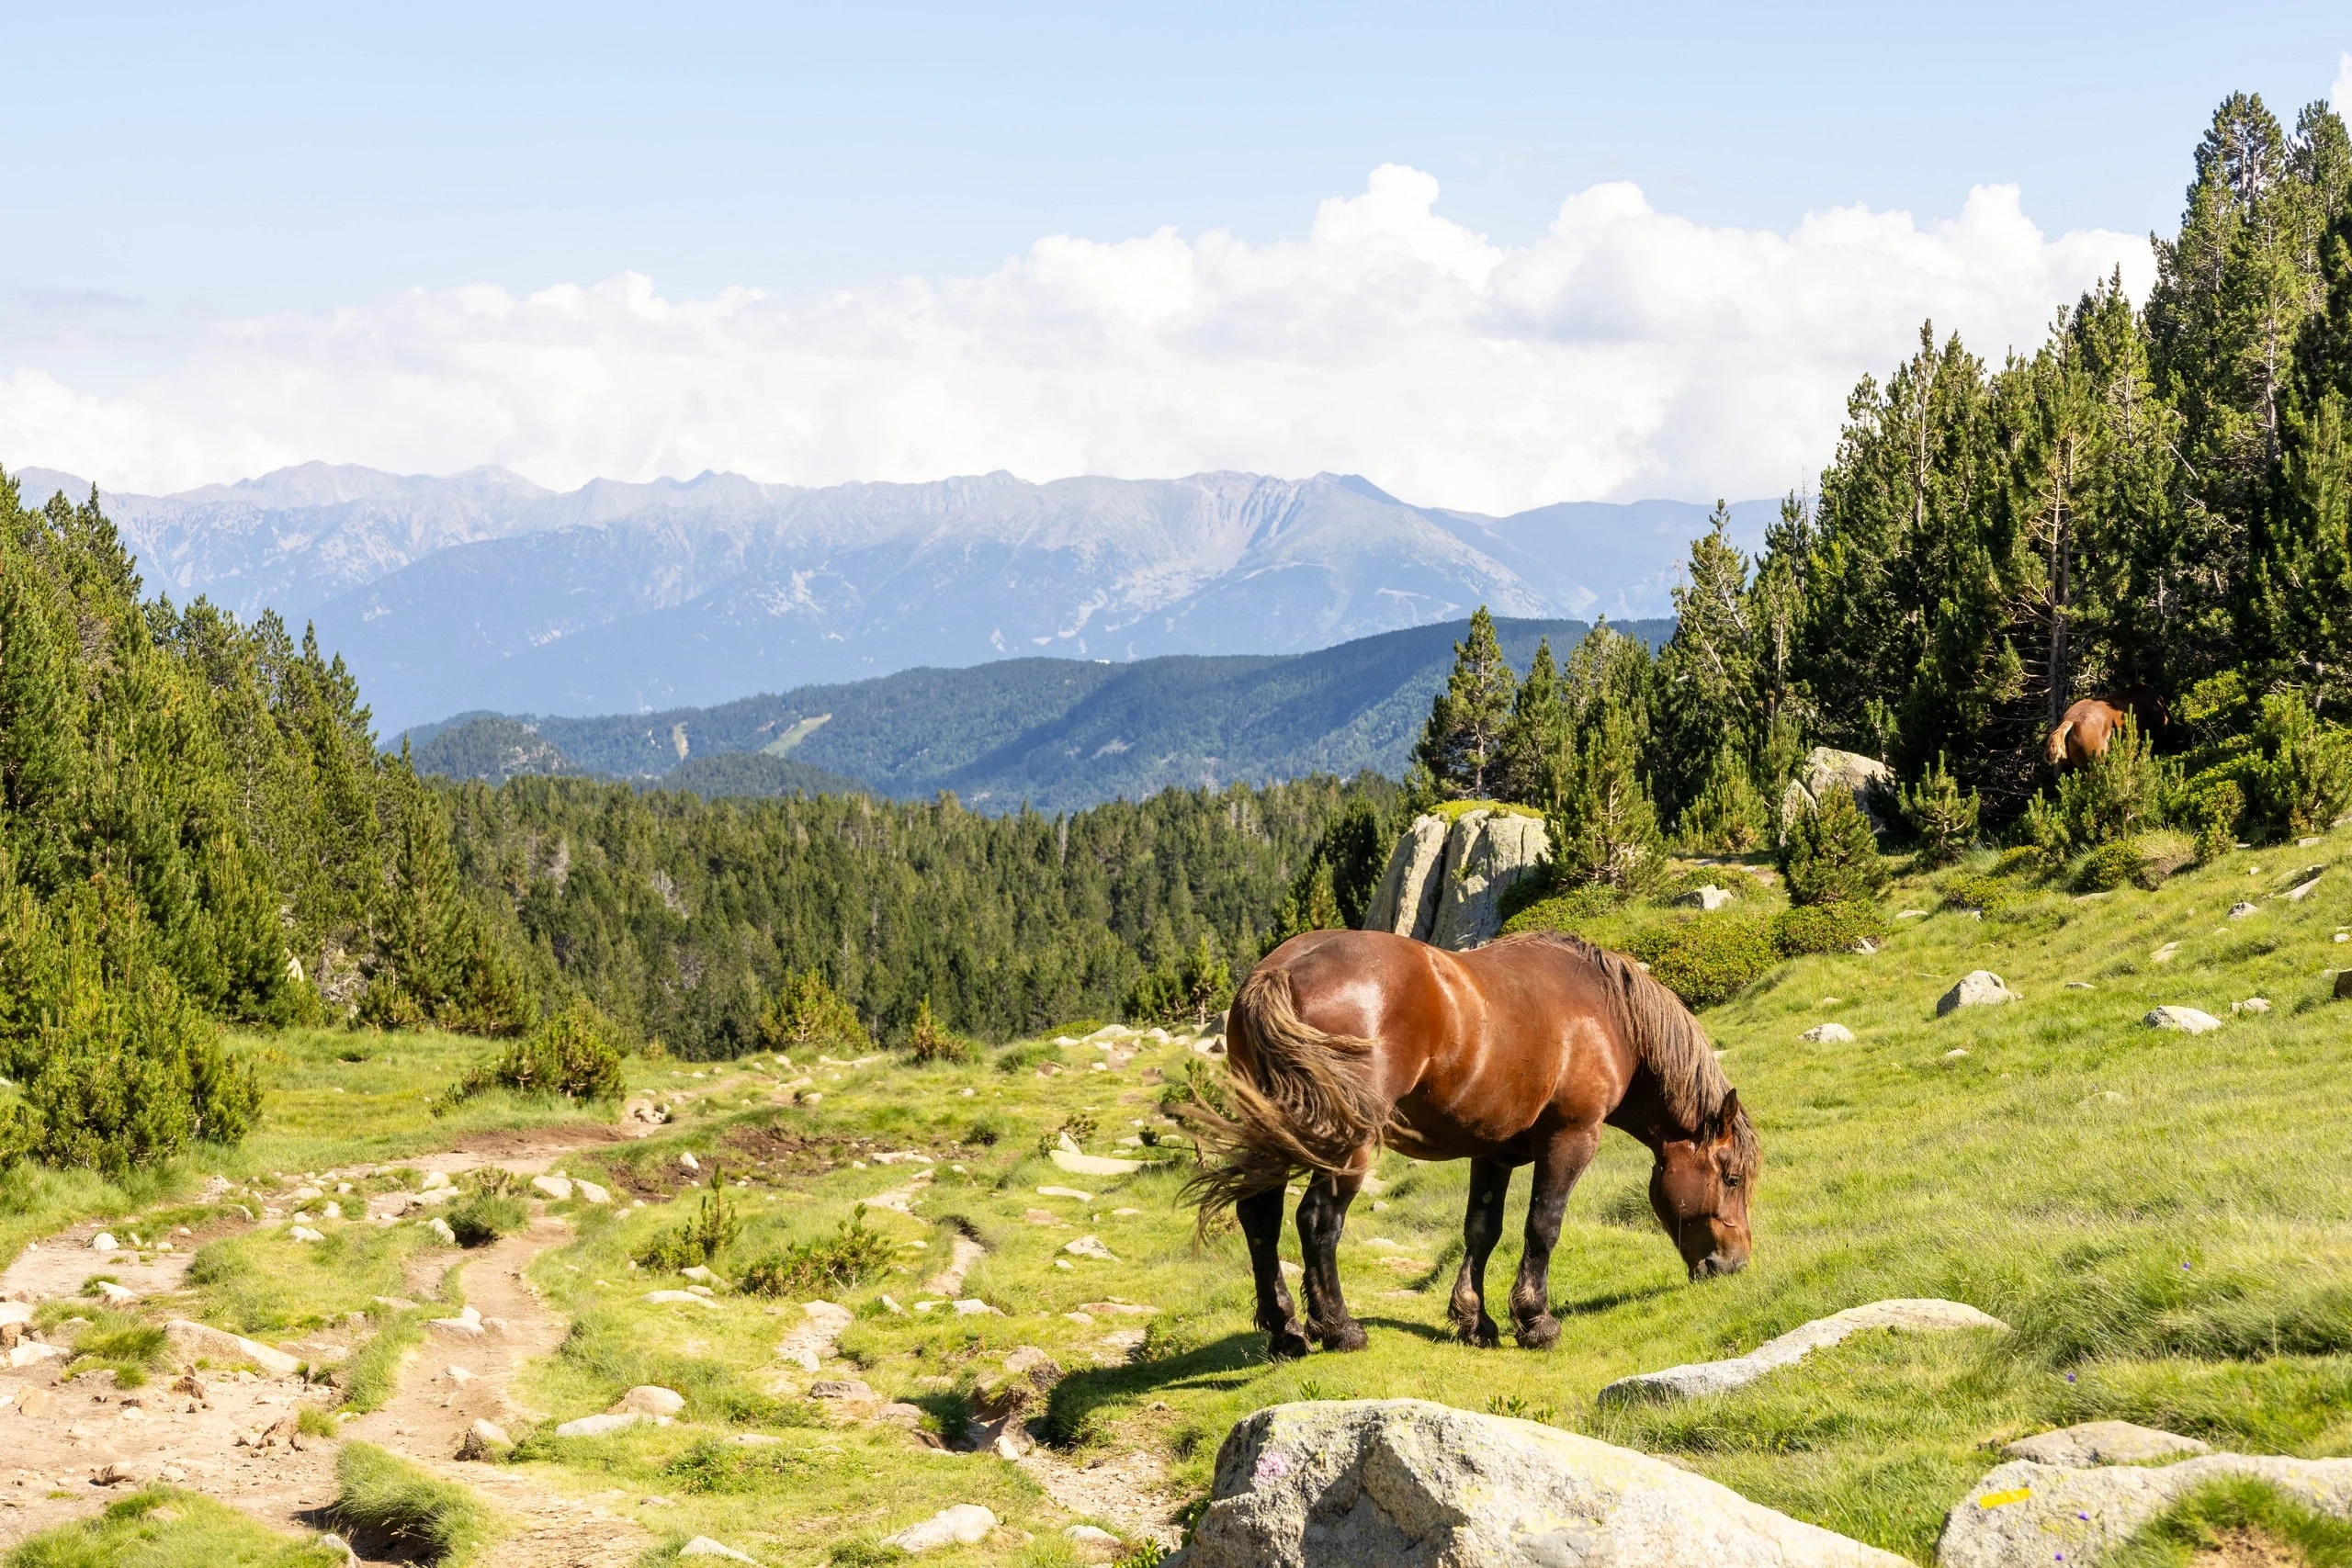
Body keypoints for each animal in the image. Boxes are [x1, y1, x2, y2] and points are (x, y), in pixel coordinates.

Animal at [1182, 928, 1759, 1359]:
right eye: (1730, 1178)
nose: (1734, 1266)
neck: (1608, 1015)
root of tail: (1281, 970)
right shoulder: (1572, 1138)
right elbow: (1543, 1226)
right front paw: (1535, 1320)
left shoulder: (1494, 1152)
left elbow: (1482, 1230)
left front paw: (1474, 1320)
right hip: (1349, 1144)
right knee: (1317, 1220)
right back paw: (1340, 1328)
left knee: (1259, 1214)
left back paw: (1286, 1331)